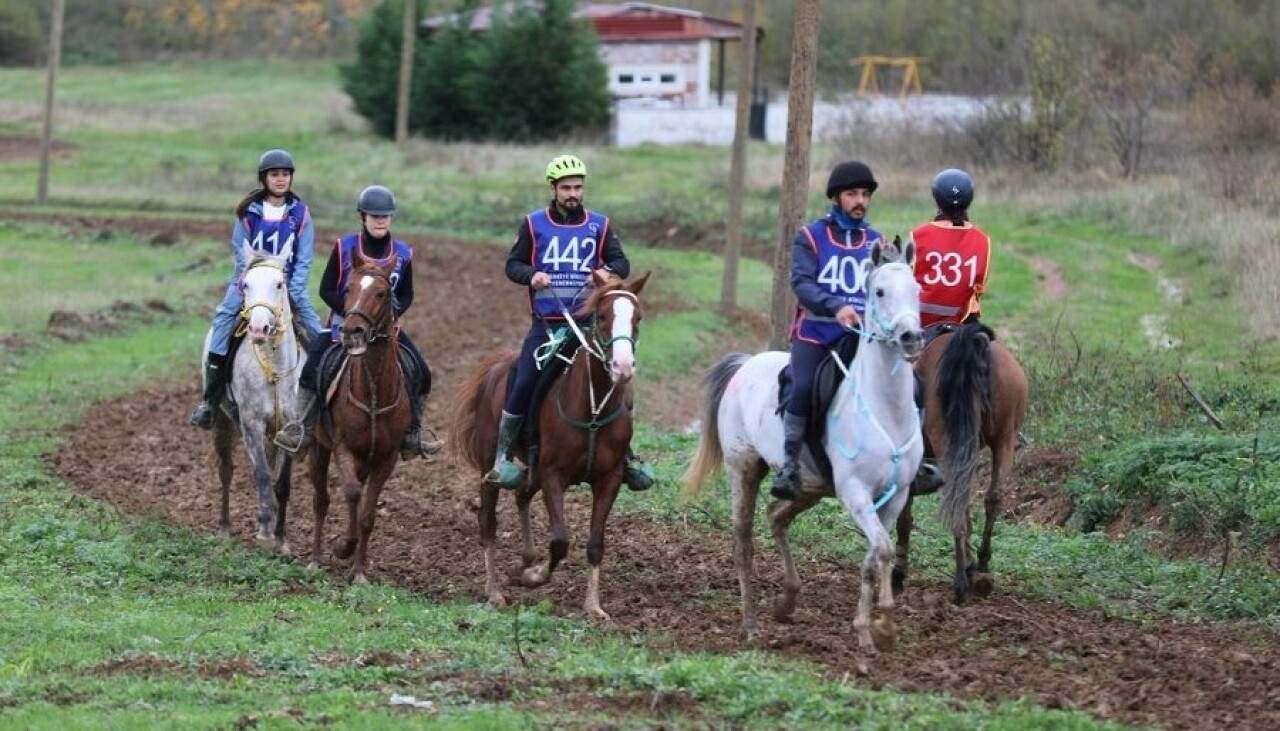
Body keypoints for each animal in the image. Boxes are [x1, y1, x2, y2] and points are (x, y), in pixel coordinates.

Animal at [204, 243, 304, 553]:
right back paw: (224, 528)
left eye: (280, 283)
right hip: (222, 421)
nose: (258, 329)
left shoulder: (290, 430)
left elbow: (282, 483)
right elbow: (261, 475)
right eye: (245, 284)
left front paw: (281, 538)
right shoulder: (251, 425)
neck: (275, 369)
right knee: (226, 470)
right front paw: (264, 530)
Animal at [305, 252, 409, 583]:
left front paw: (360, 571)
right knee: (320, 500)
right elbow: (350, 493)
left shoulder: (386, 457)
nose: (353, 331)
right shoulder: (342, 446)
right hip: (318, 447)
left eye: (382, 293)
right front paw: (342, 547)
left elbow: (367, 514)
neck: (373, 391)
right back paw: (315, 559)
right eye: (348, 288)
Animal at [453, 271, 650, 619]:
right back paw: (495, 591)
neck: (593, 408)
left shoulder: (609, 479)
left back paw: (524, 562)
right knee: (488, 523)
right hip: (491, 466)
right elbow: (559, 540)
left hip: (533, 469)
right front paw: (535, 577)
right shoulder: (553, 475)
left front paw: (593, 606)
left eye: (637, 317)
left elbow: (595, 544)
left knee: (521, 496)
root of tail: (495, 368)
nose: (623, 368)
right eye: (602, 316)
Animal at [686, 236, 926, 650]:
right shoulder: (856, 492)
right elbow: (881, 549)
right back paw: (751, 624)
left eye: (917, 290)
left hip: (810, 486)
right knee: (743, 540)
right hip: (743, 469)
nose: (910, 337)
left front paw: (876, 629)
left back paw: (787, 601)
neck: (887, 410)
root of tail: (746, 363)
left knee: (776, 515)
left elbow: (878, 554)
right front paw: (877, 626)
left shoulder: (895, 495)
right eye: (879, 291)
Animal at [896, 322, 1034, 604]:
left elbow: (904, 515)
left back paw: (960, 581)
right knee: (991, 498)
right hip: (1003, 441)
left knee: (957, 500)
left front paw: (899, 572)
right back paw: (981, 568)